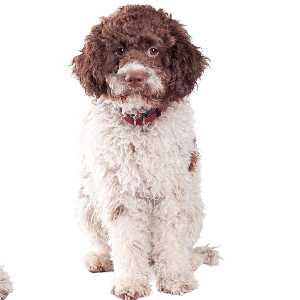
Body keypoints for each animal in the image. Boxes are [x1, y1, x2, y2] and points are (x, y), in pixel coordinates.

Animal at [71, 4, 221, 300]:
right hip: (87, 205)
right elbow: (126, 241)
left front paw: (175, 278)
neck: (140, 122)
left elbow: (172, 238)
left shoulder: (173, 191)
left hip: (195, 209)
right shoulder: (119, 194)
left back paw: (186, 263)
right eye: (119, 50)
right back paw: (101, 260)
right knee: (108, 245)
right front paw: (130, 282)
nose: (134, 77)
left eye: (154, 50)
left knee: (181, 249)